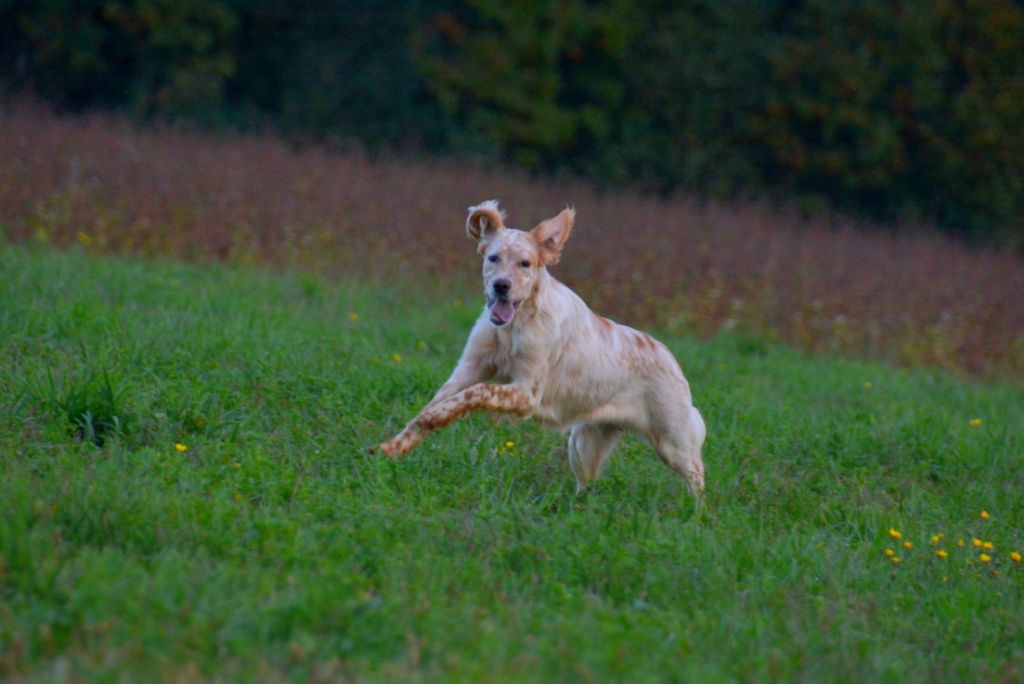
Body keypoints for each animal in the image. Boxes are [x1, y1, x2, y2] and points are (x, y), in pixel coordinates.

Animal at [374, 200, 704, 493]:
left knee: (697, 474)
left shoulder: (527, 392)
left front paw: (431, 419)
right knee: (586, 484)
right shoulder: (470, 368)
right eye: (493, 258)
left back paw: (694, 513)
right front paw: (392, 447)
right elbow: (436, 404)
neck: (514, 327)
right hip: (584, 443)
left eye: (525, 263)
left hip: (671, 441)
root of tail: (671, 358)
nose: (501, 286)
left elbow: (477, 392)